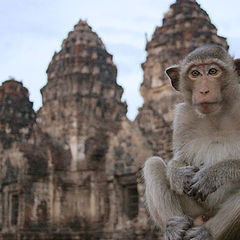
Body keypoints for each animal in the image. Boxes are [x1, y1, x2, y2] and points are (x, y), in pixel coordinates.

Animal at [142, 45, 240, 240]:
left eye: (213, 71)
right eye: (195, 73)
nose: (203, 91)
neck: (216, 116)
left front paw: (212, 175)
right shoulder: (183, 115)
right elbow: (180, 157)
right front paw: (177, 174)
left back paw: (205, 233)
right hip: (193, 210)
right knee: (153, 163)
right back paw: (174, 226)